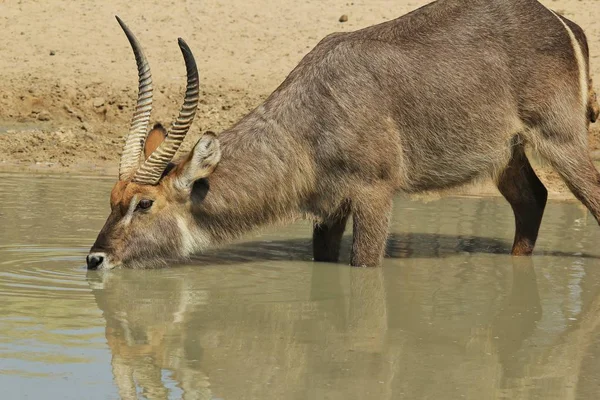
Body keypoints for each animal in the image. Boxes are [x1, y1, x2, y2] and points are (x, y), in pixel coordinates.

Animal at [86, 0, 596, 270]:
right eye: (111, 200)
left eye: (144, 204)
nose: (94, 259)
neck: (308, 122)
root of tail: (558, 18)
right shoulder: (328, 208)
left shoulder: (374, 194)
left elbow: (363, 267)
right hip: (506, 153)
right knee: (532, 199)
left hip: (562, 139)